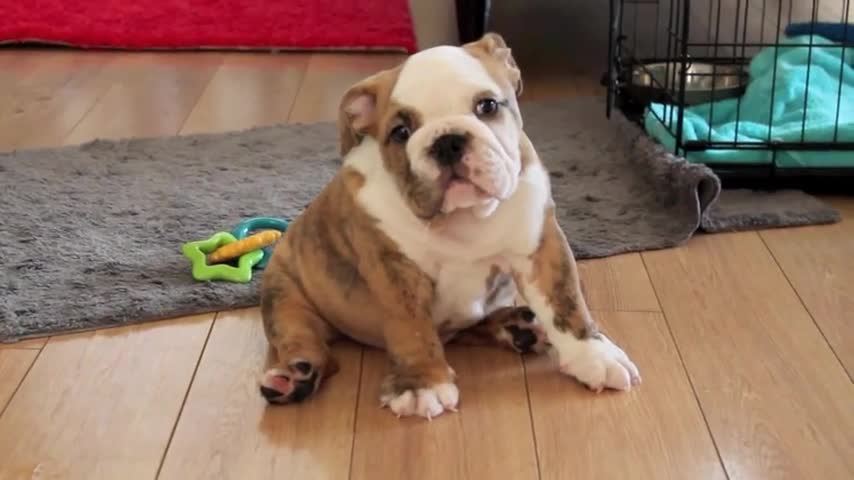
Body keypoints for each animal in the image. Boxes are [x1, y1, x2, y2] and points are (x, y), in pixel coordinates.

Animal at [260, 31, 640, 418]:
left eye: (487, 106)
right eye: (400, 131)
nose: (447, 141)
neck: (465, 217)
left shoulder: (540, 244)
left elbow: (566, 302)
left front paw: (594, 355)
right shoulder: (392, 269)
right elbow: (410, 326)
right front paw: (422, 384)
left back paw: (517, 327)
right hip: (283, 291)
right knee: (304, 339)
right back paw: (295, 377)